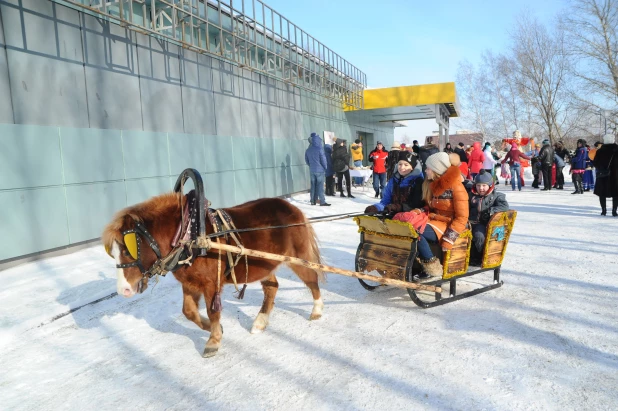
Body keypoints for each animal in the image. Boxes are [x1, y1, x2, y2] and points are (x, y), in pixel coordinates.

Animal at [101, 195, 322, 358]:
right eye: (112, 252)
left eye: (128, 249)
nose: (123, 290)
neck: (188, 237)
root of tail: (292, 208)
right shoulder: (190, 283)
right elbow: (189, 312)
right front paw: (214, 329)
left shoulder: (211, 283)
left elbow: (212, 311)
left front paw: (213, 341)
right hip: (264, 265)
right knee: (272, 287)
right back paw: (260, 322)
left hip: (298, 258)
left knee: (312, 279)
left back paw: (317, 310)